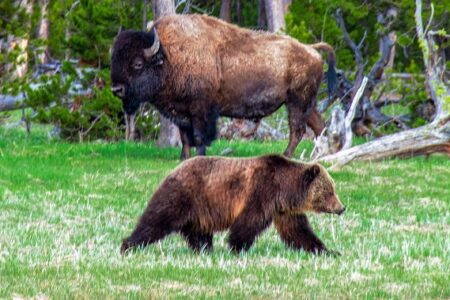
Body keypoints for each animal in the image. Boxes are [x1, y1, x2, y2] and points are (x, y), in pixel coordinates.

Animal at [110, 14, 334, 159]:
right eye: (114, 60)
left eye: (137, 64)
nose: (116, 90)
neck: (169, 56)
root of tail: (311, 49)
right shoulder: (181, 111)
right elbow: (185, 137)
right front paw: (183, 158)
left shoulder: (201, 110)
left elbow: (199, 136)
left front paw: (198, 157)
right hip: (305, 103)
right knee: (318, 125)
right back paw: (324, 155)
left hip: (296, 102)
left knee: (298, 129)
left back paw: (286, 155)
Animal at [119, 155, 344, 255]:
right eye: (329, 191)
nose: (342, 208)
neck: (284, 189)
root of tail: (174, 169)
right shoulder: (261, 191)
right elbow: (248, 222)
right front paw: (237, 247)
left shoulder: (284, 210)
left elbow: (298, 231)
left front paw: (327, 250)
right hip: (184, 194)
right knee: (156, 220)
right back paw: (128, 245)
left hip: (199, 209)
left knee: (198, 231)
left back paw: (204, 249)